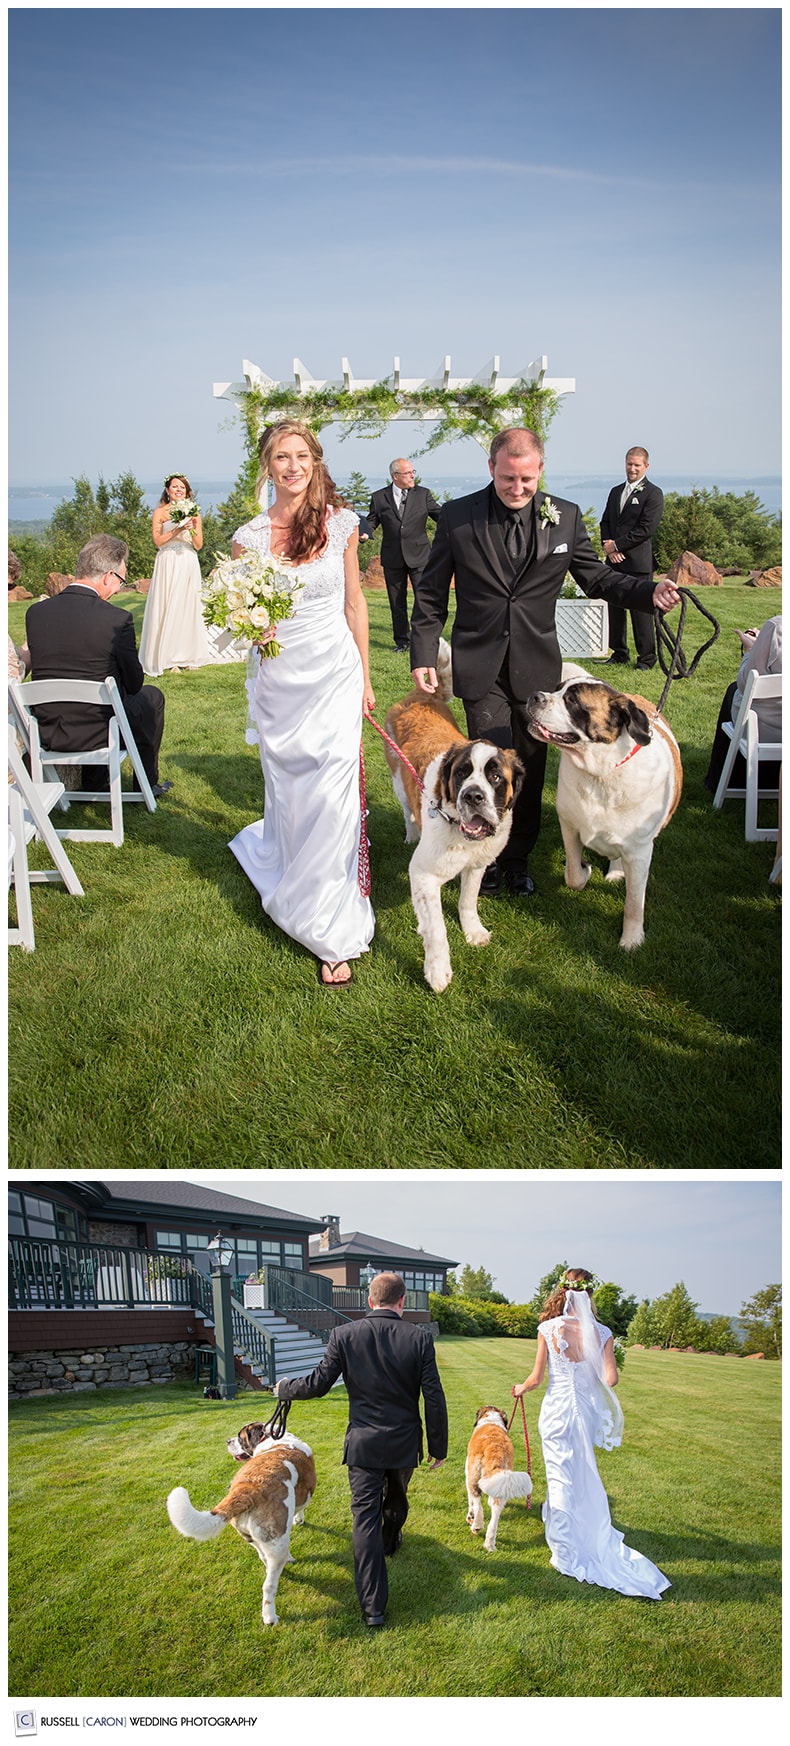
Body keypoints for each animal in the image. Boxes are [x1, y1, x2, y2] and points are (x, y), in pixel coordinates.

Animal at [166, 1417, 314, 1620]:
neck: (271, 1439)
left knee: (263, 1556)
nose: (228, 1441)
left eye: (240, 1438)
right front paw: (299, 1520)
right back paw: (270, 1618)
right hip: (277, 1542)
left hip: (251, 1534)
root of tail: (247, 1487)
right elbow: (301, 1508)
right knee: (269, 1584)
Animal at [384, 642, 524, 998]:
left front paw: (473, 931)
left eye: (495, 778)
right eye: (461, 773)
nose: (473, 796)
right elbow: (436, 930)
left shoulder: (478, 864)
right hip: (398, 779)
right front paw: (437, 971)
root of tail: (421, 696)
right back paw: (411, 832)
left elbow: (468, 900)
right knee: (406, 808)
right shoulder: (423, 875)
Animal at [461, 1403, 531, 1557]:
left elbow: (471, 1501)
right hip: (504, 1478)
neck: (491, 1420)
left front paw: (471, 1516)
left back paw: (476, 1525)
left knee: (477, 1501)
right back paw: (490, 1543)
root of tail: (495, 1450)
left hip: (473, 1475)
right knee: (496, 1511)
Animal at [527, 663, 681, 949]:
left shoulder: (640, 851)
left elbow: (634, 902)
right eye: (556, 689)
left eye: (572, 700)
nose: (535, 696)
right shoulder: (569, 826)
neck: (601, 773)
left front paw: (632, 940)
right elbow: (572, 876)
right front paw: (584, 870)